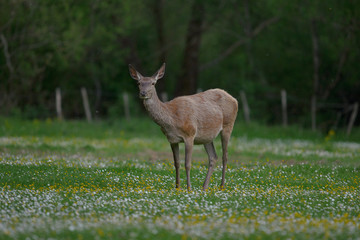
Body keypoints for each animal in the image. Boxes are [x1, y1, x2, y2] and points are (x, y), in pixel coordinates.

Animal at [128, 62, 238, 190]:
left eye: (153, 83)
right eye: (139, 83)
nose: (143, 93)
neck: (172, 119)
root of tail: (234, 99)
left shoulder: (190, 134)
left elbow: (187, 164)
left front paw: (188, 188)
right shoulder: (172, 139)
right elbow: (176, 163)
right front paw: (177, 187)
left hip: (228, 125)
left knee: (225, 156)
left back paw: (221, 186)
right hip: (206, 136)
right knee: (213, 157)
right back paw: (204, 187)